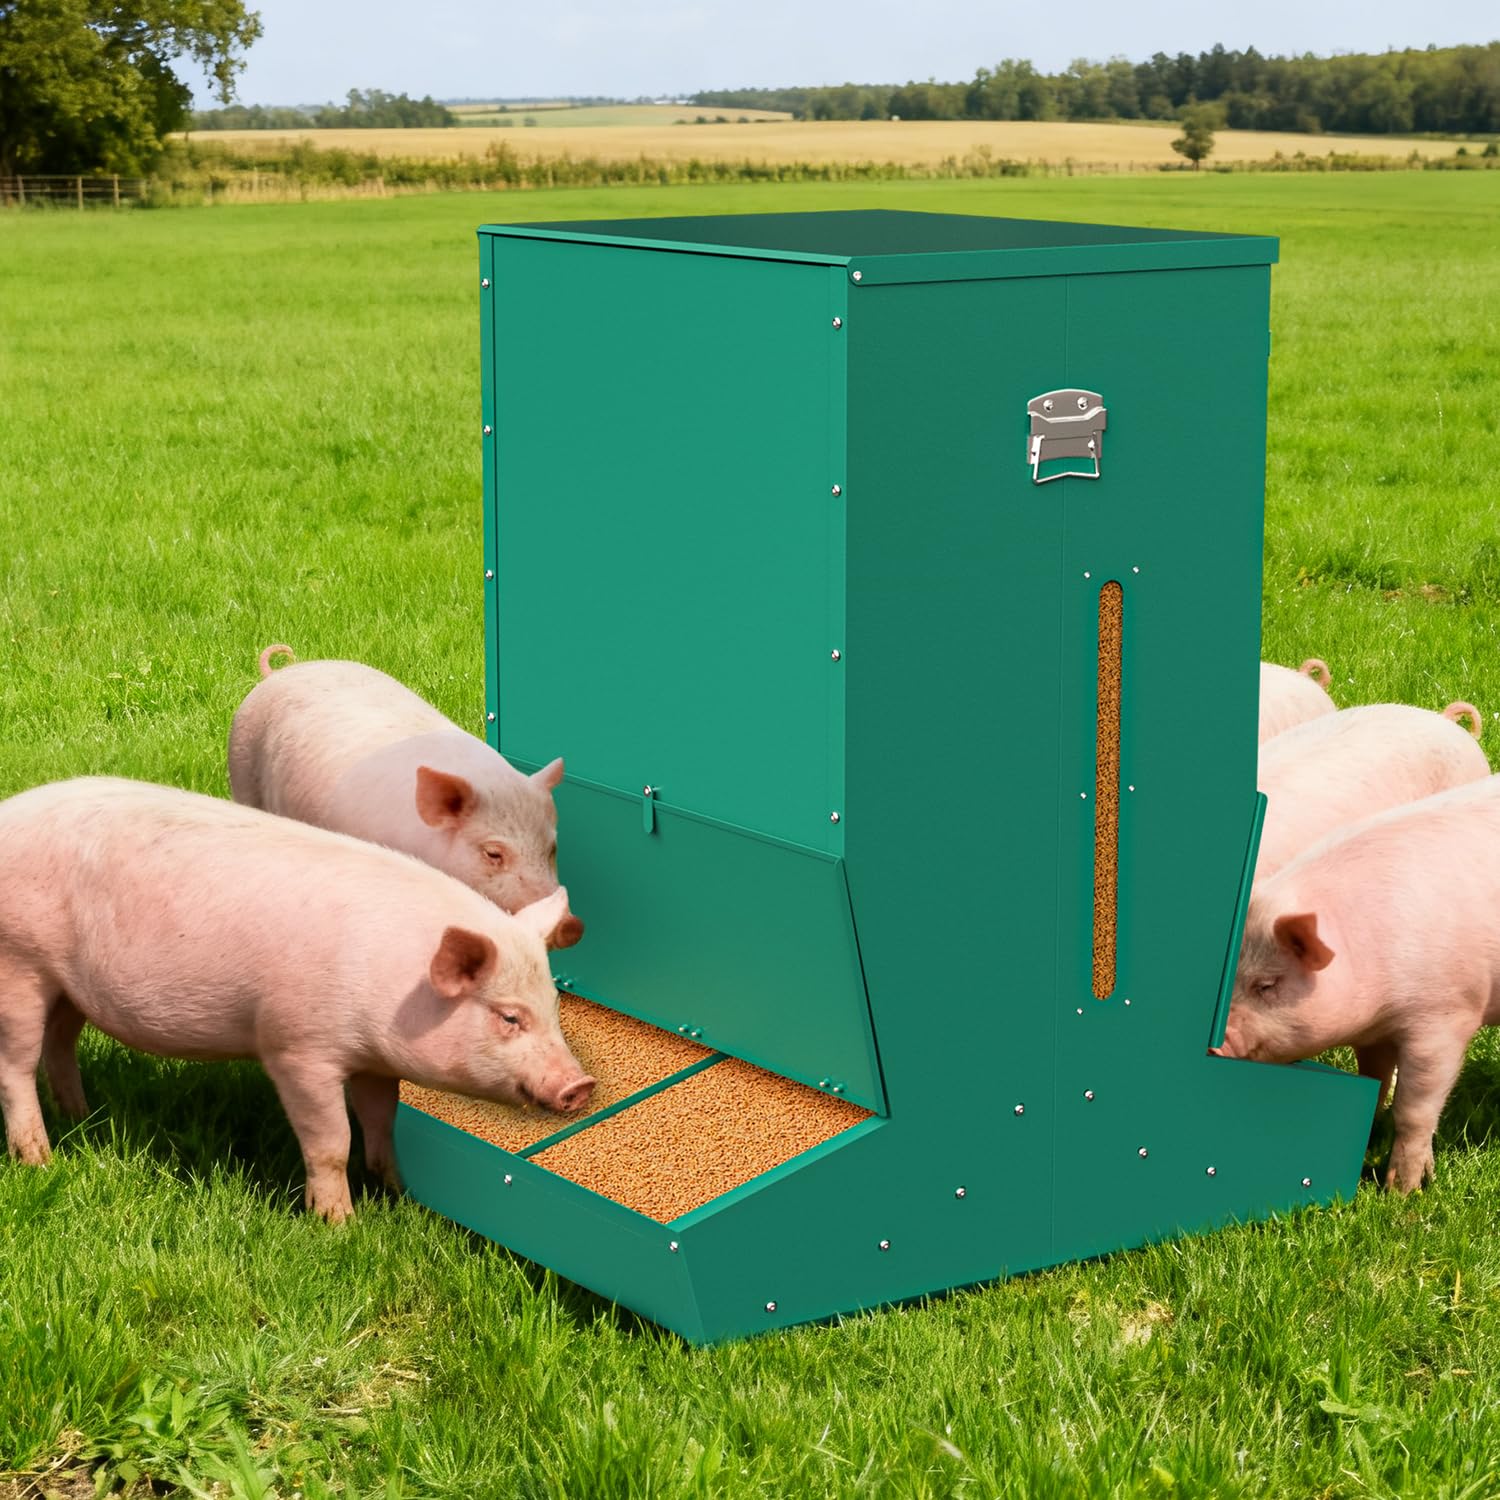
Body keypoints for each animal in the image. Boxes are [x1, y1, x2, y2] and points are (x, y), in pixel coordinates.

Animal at [0, 777, 595, 1221]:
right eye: (509, 1016)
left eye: (552, 1008)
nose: (581, 1085)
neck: (394, 982)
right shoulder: (297, 1049)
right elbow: (331, 1140)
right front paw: (340, 1224)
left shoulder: (375, 1060)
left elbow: (382, 1120)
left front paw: (395, 1189)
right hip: (20, 963)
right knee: (16, 1067)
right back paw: (40, 1160)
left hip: (68, 986)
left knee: (59, 1045)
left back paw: (83, 1117)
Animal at [1217, 773, 1500, 1192]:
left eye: (1267, 985)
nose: (1214, 1045)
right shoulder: (1374, 1034)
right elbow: (1376, 1081)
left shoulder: (1446, 1015)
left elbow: (1414, 1108)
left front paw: (1402, 1191)